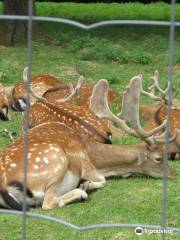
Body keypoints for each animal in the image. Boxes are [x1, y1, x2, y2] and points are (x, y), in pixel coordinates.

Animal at [0, 75, 177, 210]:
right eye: (158, 158)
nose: (175, 173)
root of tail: (5, 187)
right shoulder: (85, 162)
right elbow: (102, 180)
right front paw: (86, 185)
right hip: (56, 158)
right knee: (48, 203)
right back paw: (80, 193)